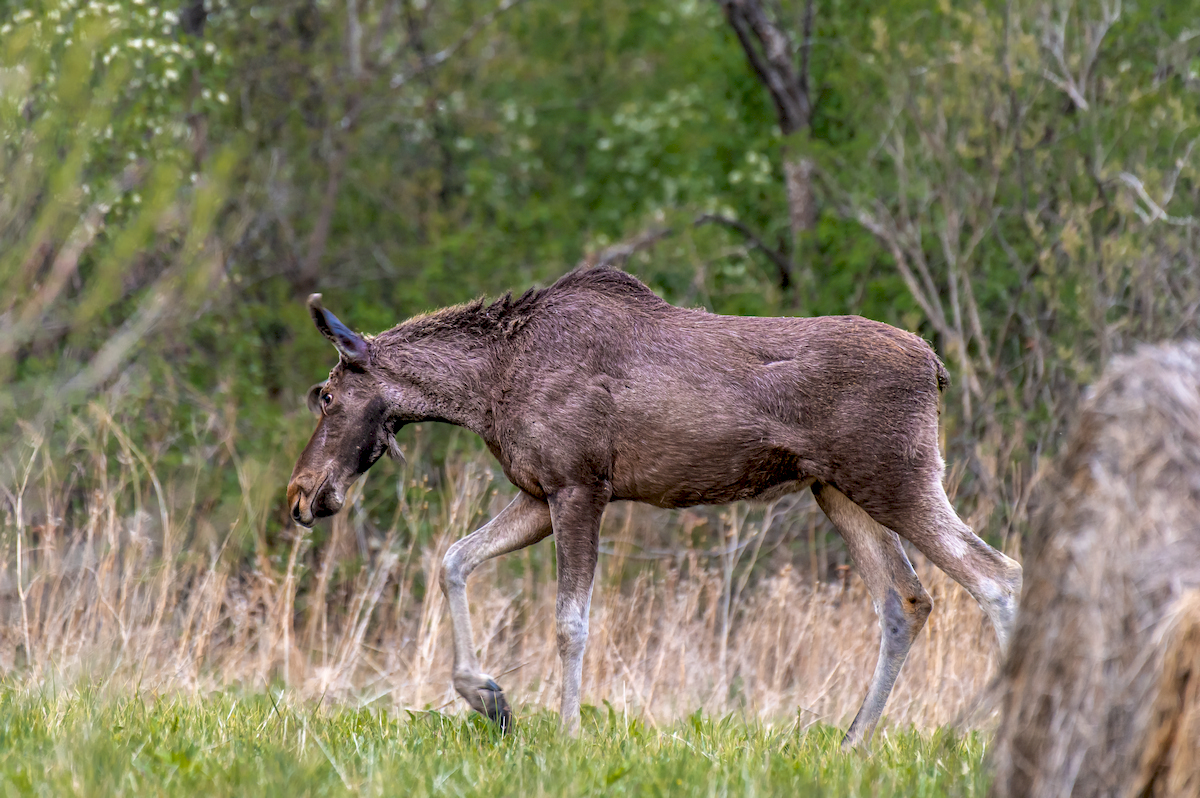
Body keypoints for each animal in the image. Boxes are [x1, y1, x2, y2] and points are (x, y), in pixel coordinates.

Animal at [283, 267, 1022, 748]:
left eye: (326, 395)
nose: (300, 494)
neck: (484, 391)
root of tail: (937, 370)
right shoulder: (537, 492)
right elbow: (453, 560)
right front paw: (490, 698)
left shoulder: (580, 487)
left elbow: (569, 623)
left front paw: (568, 734)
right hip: (839, 491)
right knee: (908, 600)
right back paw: (855, 741)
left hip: (899, 478)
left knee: (998, 576)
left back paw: (970, 733)